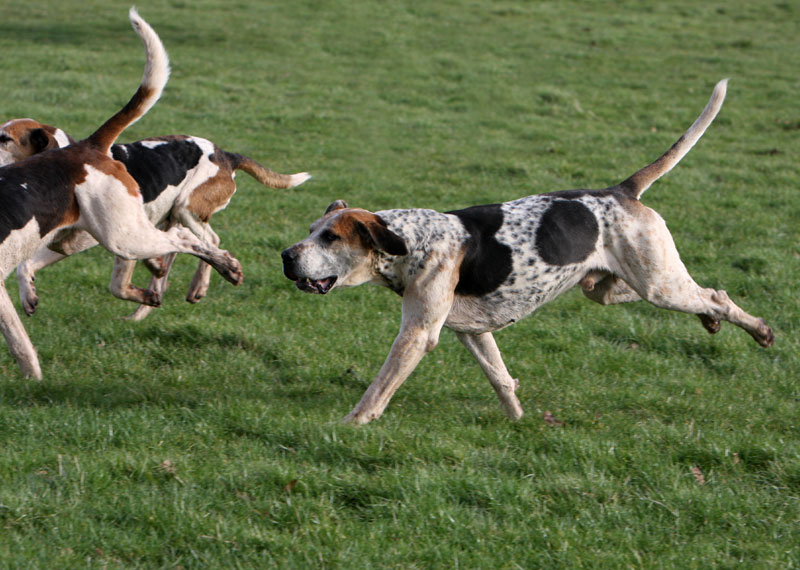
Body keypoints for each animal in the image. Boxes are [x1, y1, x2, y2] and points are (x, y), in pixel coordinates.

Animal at [1, 122, 310, 322]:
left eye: (5, 138)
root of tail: (226, 155)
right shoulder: (65, 242)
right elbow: (25, 266)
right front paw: (29, 297)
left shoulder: (107, 242)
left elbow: (118, 285)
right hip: (171, 219)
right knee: (183, 251)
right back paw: (150, 302)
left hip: (186, 208)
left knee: (211, 241)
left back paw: (198, 286)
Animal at [282, 81, 776, 426]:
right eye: (310, 231)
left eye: (331, 239)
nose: (285, 255)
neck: (410, 240)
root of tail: (621, 191)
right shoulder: (473, 331)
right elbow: (501, 377)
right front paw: (519, 421)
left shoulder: (418, 335)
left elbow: (378, 388)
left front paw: (351, 424)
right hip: (612, 286)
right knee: (704, 294)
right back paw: (711, 320)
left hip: (659, 285)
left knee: (715, 295)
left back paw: (757, 329)